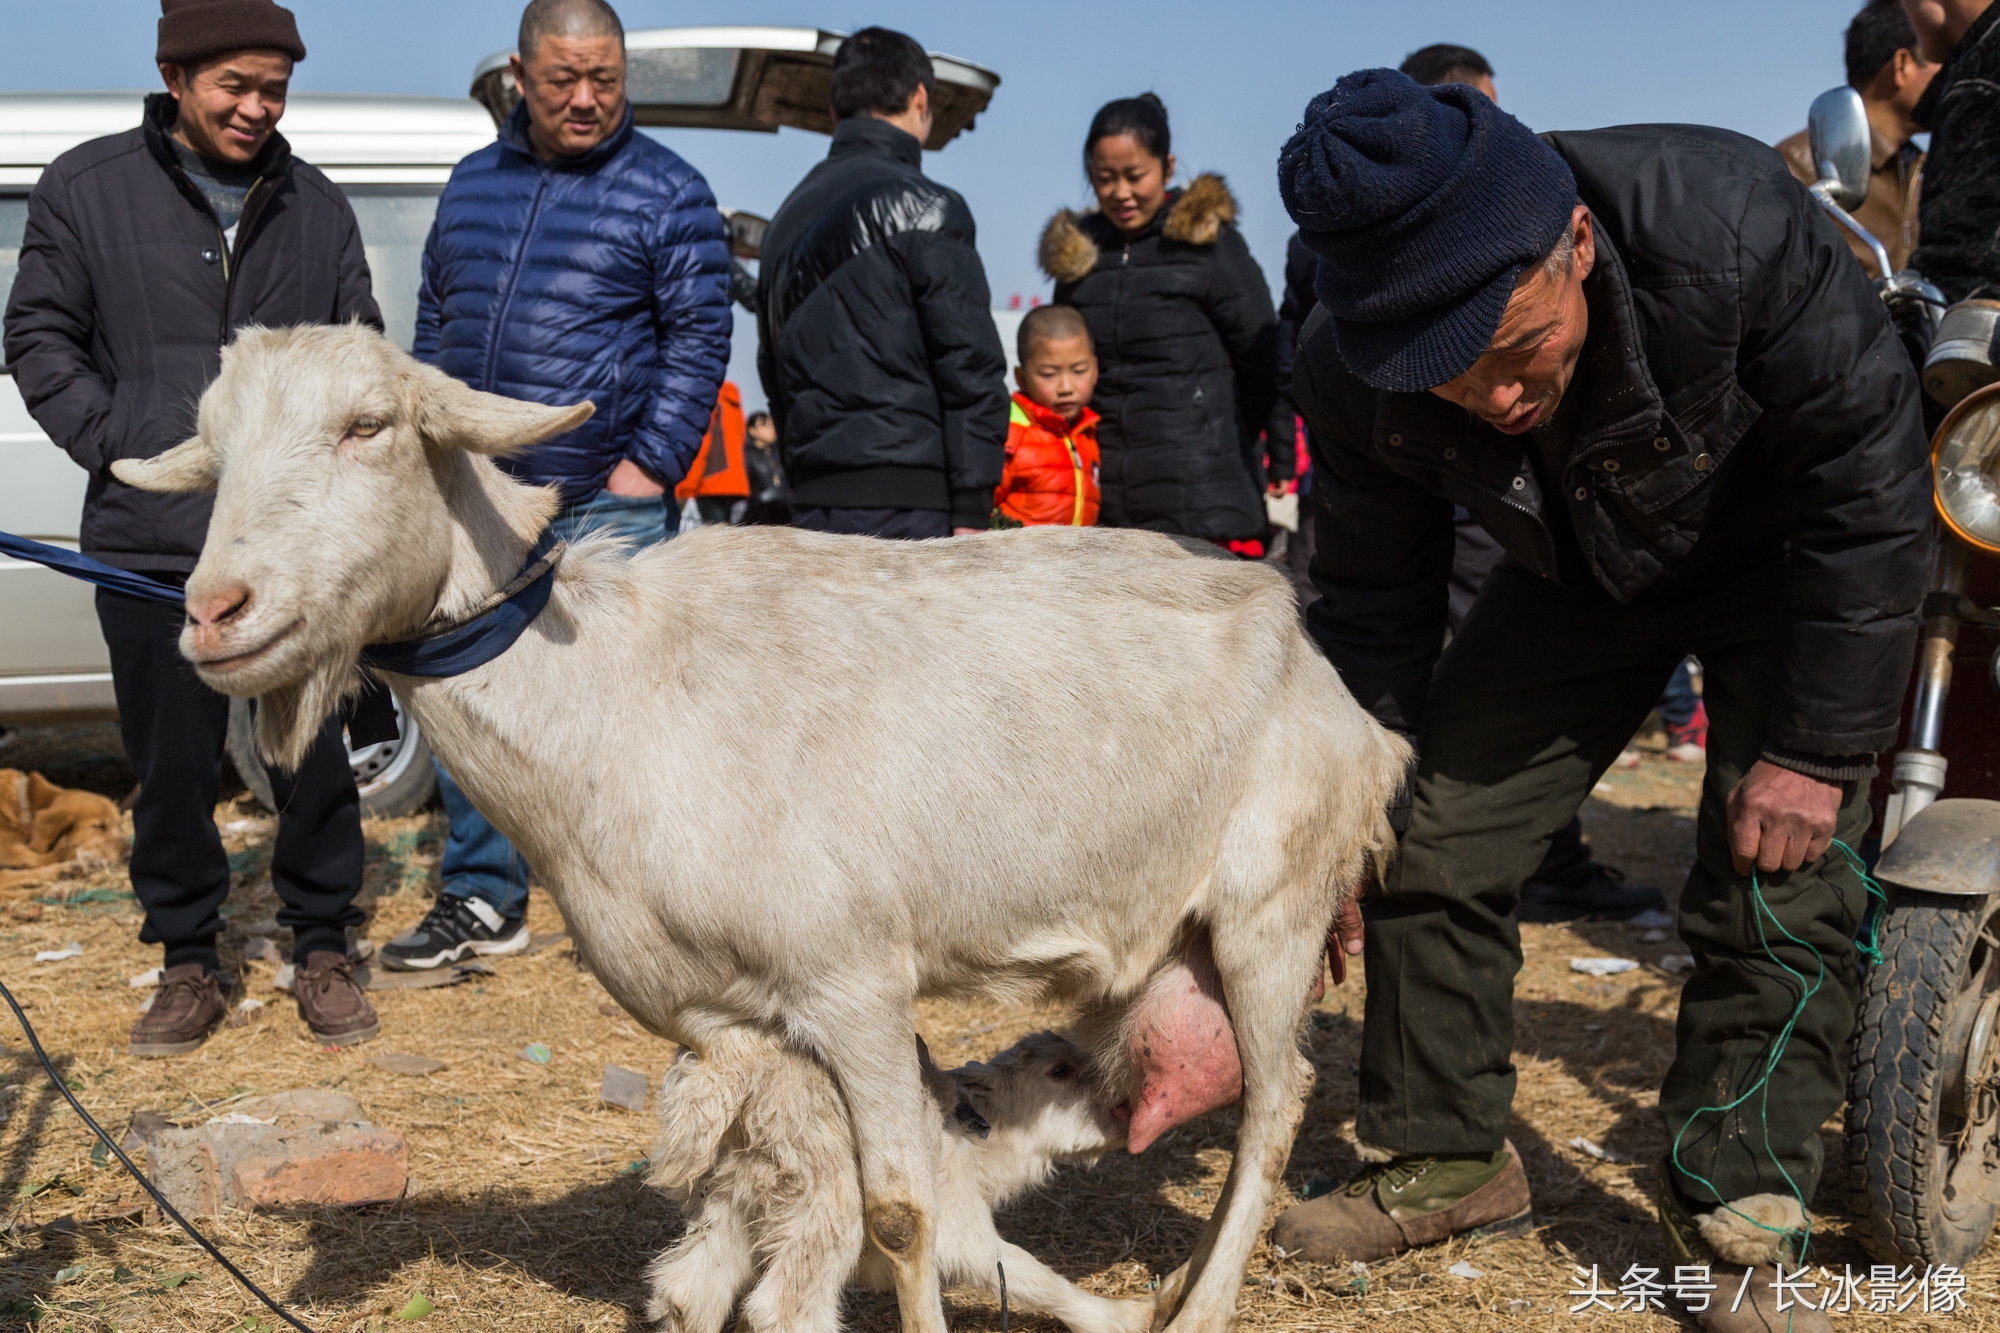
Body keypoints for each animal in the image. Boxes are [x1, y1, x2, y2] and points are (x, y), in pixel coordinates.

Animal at [648, 1024, 1152, 1328]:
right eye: (1059, 1071)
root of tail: (731, 1077)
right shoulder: (956, 1220)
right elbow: (1025, 1272)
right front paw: (1128, 1316)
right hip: (826, 1201)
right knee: (784, 1310)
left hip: (732, 1196)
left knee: (689, 1293)